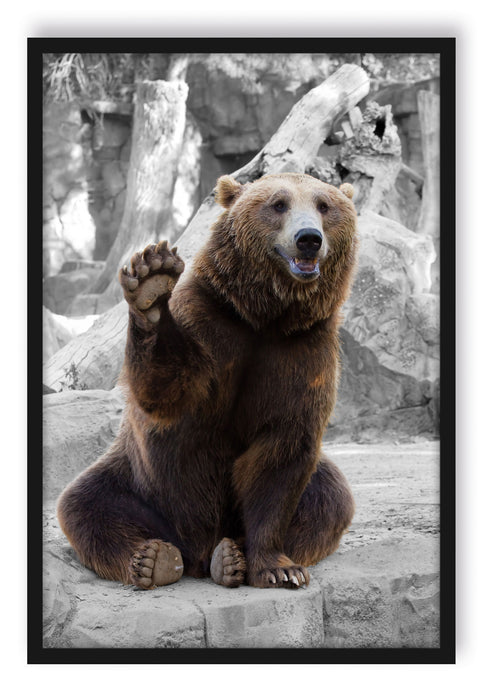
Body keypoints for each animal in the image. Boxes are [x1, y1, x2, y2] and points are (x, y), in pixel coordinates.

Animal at [57, 172, 358, 590]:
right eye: (278, 204)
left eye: (324, 205)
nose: (308, 238)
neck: (266, 317)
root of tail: (195, 552)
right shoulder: (210, 323)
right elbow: (168, 391)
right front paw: (152, 282)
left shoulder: (304, 350)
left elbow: (282, 453)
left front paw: (279, 568)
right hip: (138, 481)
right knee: (86, 505)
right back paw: (154, 559)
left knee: (329, 500)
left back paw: (229, 556)